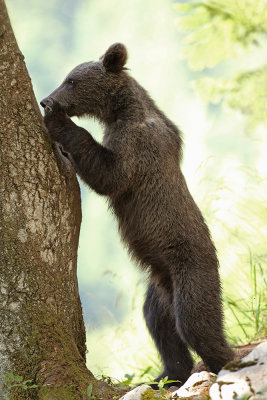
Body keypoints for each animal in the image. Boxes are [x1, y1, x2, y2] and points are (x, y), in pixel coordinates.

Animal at [40, 42, 234, 386]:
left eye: (71, 80)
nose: (46, 100)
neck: (121, 112)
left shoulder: (137, 147)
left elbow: (109, 175)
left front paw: (59, 124)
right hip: (159, 289)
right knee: (160, 325)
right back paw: (167, 374)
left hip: (191, 270)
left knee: (196, 322)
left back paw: (225, 360)